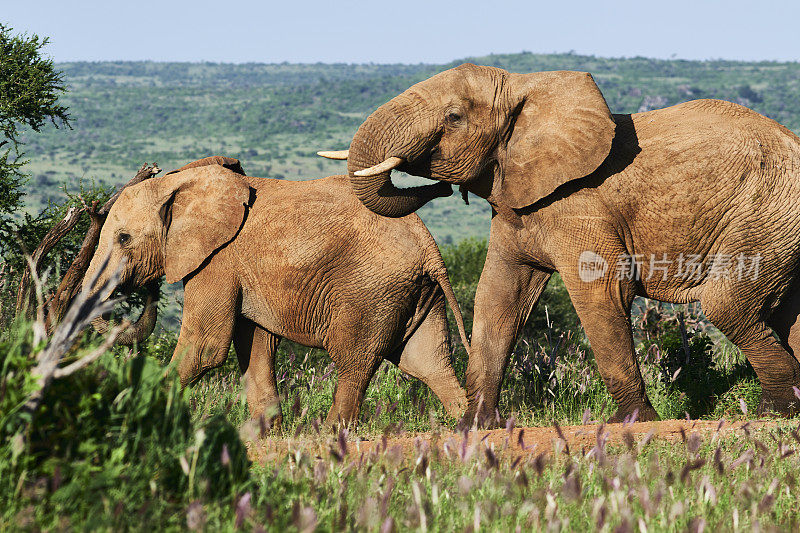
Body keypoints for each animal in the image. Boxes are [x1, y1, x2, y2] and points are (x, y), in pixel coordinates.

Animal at [83, 156, 468, 426]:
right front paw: (262, 434)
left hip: (371, 290)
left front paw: (135, 409)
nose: (148, 290)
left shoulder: (218, 261)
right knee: (429, 363)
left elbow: (205, 347)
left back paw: (331, 436)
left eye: (123, 238)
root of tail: (428, 244)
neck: (179, 183)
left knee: (354, 362)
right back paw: (470, 426)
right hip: (417, 292)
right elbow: (256, 346)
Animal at [320, 64, 800, 426]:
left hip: (767, 209)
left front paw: (630, 422)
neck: (523, 86)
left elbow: (601, 290)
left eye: (454, 117)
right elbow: (498, 296)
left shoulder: (580, 205)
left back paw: (774, 411)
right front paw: (473, 427)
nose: (440, 189)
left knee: (726, 304)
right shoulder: (516, 206)